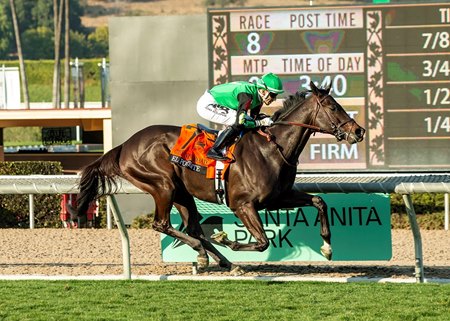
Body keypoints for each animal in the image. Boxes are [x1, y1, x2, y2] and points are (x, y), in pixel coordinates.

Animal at [77, 81, 366, 274]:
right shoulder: (242, 204)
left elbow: (319, 201)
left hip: (182, 193)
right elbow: (262, 242)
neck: (273, 148)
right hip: (162, 185)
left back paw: (219, 259)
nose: (359, 131)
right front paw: (226, 239)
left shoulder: (277, 197)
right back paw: (207, 253)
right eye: (332, 106)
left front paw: (327, 247)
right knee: (162, 224)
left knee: (192, 227)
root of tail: (125, 145)